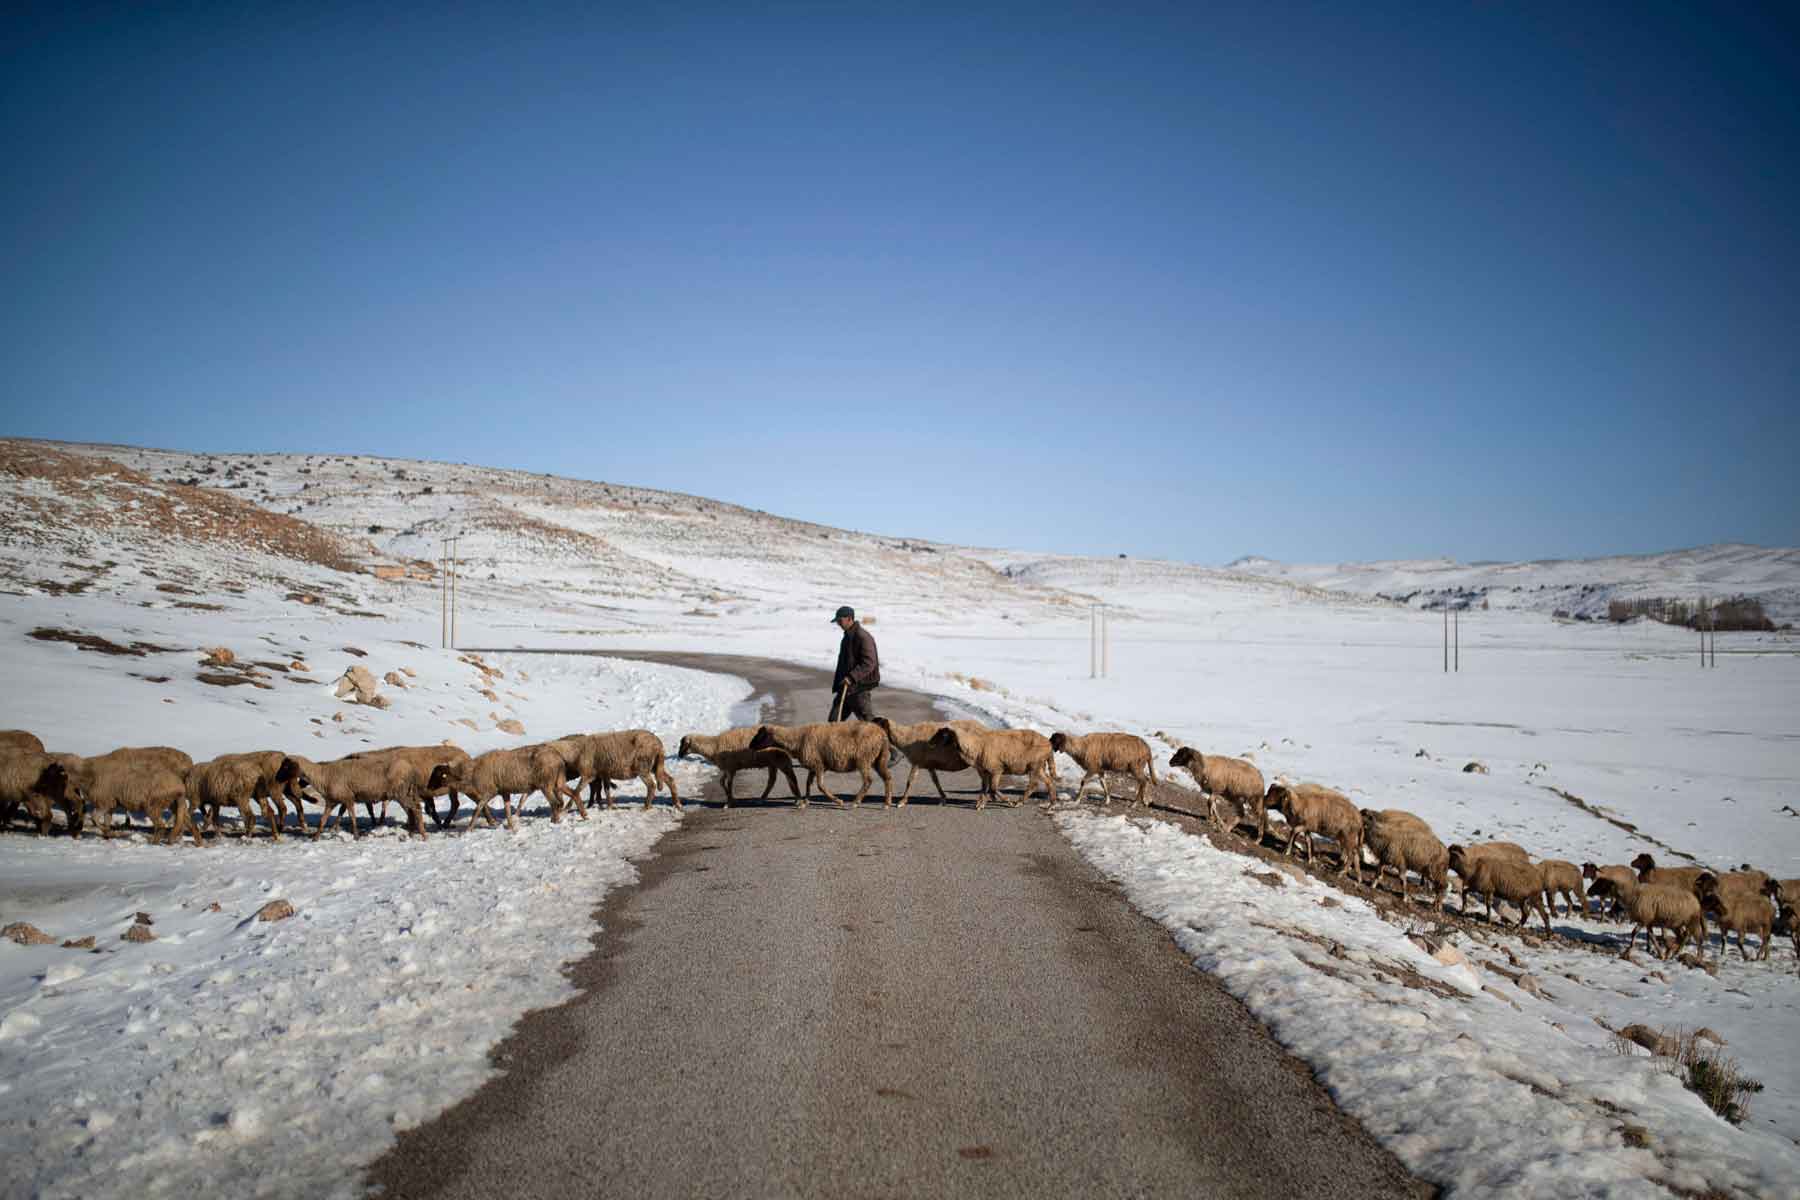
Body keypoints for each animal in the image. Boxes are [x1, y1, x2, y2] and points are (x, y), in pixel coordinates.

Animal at [428, 745, 576, 831]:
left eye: (437, 775)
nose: (428, 787)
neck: (471, 772)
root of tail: (558, 756)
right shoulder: (504, 792)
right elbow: (507, 810)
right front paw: (510, 827)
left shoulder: (489, 792)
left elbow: (478, 809)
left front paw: (468, 830)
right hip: (557, 782)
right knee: (561, 800)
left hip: (545, 784)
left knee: (555, 803)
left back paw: (554, 821)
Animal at [750, 723, 893, 808]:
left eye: (761, 734)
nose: (750, 746)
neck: (797, 739)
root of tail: (882, 734)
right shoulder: (813, 766)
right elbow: (808, 783)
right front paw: (805, 801)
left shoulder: (819, 765)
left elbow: (820, 786)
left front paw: (838, 801)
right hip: (879, 759)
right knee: (887, 778)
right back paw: (887, 803)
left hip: (864, 759)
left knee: (868, 780)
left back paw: (856, 802)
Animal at [927, 726, 1055, 810]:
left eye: (943, 734)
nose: (929, 743)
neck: (976, 746)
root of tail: (1049, 745)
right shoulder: (983, 771)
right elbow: (984, 788)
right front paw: (980, 804)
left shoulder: (996, 770)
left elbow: (993, 788)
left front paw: (1008, 801)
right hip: (1039, 766)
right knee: (1049, 782)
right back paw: (1052, 804)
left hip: (1034, 765)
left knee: (1033, 785)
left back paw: (1019, 802)